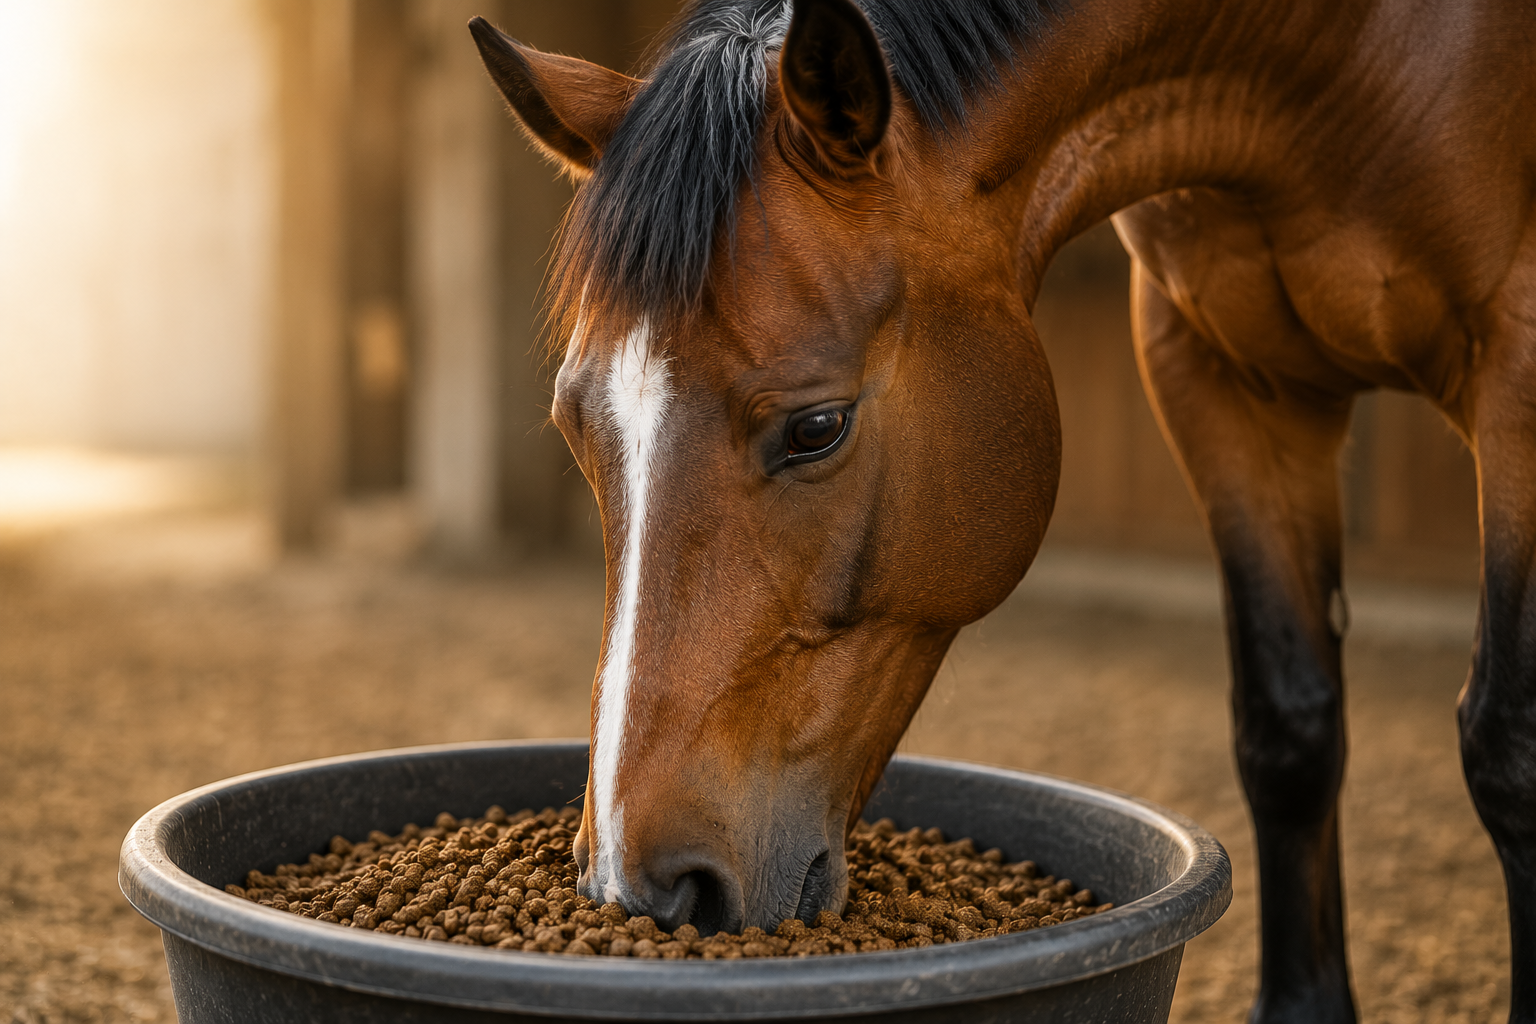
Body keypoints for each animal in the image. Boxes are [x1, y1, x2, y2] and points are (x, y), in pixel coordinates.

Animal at [466, 0, 1536, 1018]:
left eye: (816, 428)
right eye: (573, 424)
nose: (642, 889)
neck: (1332, 56)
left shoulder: (1517, 375)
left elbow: (1507, 751)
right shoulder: (1221, 377)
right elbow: (1290, 728)